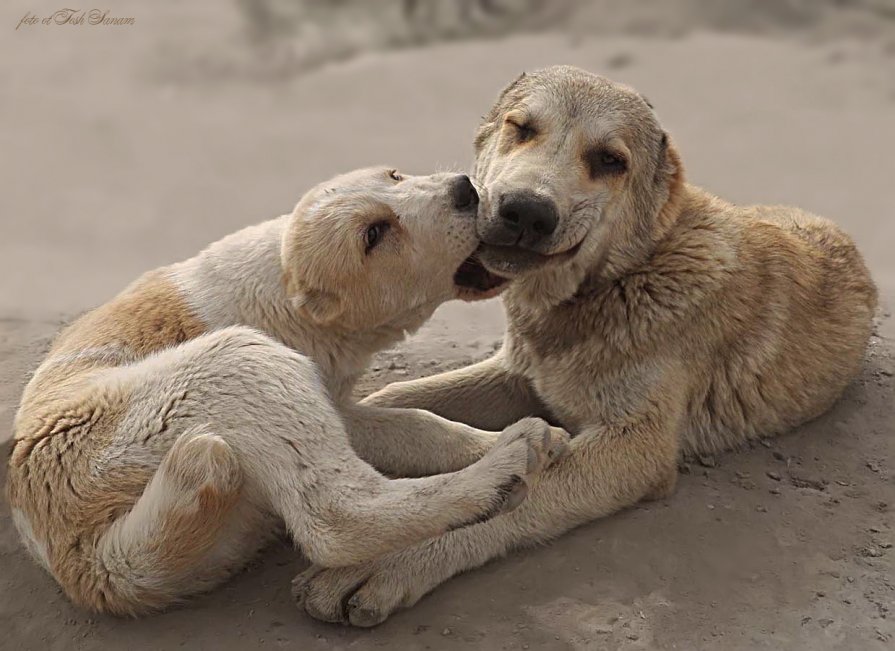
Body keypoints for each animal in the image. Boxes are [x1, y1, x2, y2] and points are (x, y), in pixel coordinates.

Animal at [7, 168, 568, 616]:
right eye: (374, 234)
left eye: (394, 175)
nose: (465, 189)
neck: (285, 287)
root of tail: (77, 560)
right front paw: (502, 449)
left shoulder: (326, 401)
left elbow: (416, 426)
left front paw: (498, 441)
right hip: (231, 366)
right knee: (336, 518)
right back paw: (504, 468)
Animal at [298, 66, 880, 628]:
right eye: (521, 128)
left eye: (609, 161)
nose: (526, 212)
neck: (616, 281)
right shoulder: (516, 374)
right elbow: (394, 399)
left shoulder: (636, 446)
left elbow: (519, 496)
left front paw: (387, 560)